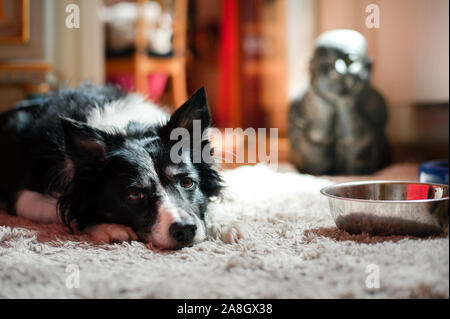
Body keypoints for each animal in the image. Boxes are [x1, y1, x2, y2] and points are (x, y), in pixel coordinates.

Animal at [0, 84, 239, 250]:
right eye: (134, 194)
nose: (186, 230)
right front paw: (110, 227)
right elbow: (71, 213)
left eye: (187, 182)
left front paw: (225, 223)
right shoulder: (25, 197)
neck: (128, 129)